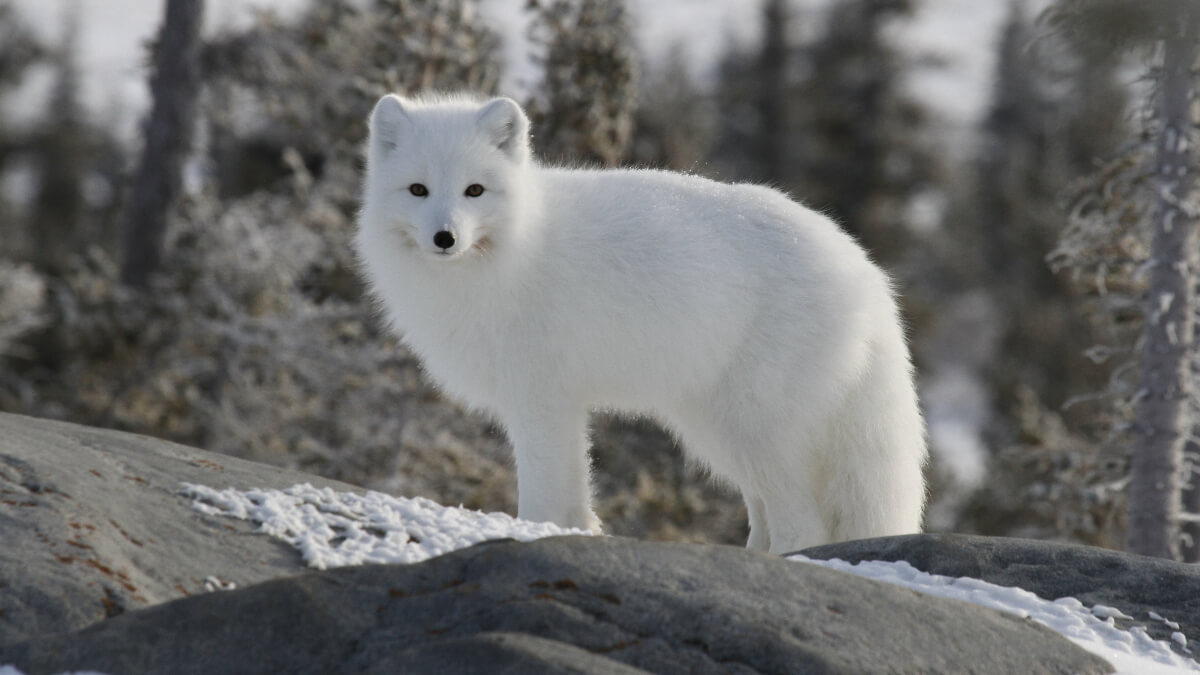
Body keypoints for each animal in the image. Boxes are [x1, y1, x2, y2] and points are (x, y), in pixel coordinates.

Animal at [355, 92, 927, 553]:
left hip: (754, 425)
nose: (444, 238)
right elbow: (573, 496)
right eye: (418, 190)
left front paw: (533, 535)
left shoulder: (541, 400)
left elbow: (542, 495)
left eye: (474, 191)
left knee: (804, 524)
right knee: (768, 514)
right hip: (720, 430)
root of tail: (865, 269)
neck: (516, 250)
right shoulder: (558, 405)